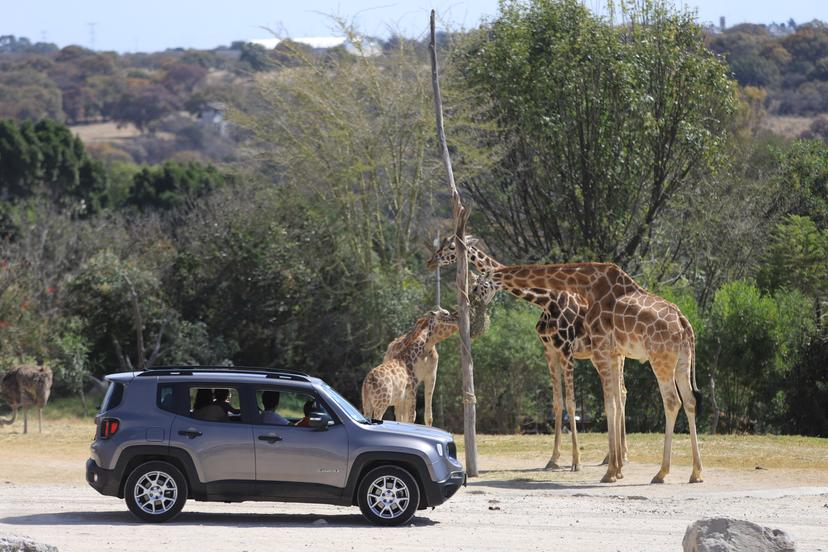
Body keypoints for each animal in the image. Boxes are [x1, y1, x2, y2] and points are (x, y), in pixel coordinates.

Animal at [430, 237, 700, 484]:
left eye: (450, 246)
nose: (432, 260)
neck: (547, 299)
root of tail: (685, 325)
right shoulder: (555, 351)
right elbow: (561, 403)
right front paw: (560, 460)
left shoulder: (574, 350)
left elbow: (584, 404)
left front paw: (584, 464)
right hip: (678, 361)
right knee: (686, 400)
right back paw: (692, 472)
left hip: (658, 359)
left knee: (669, 401)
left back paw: (657, 471)